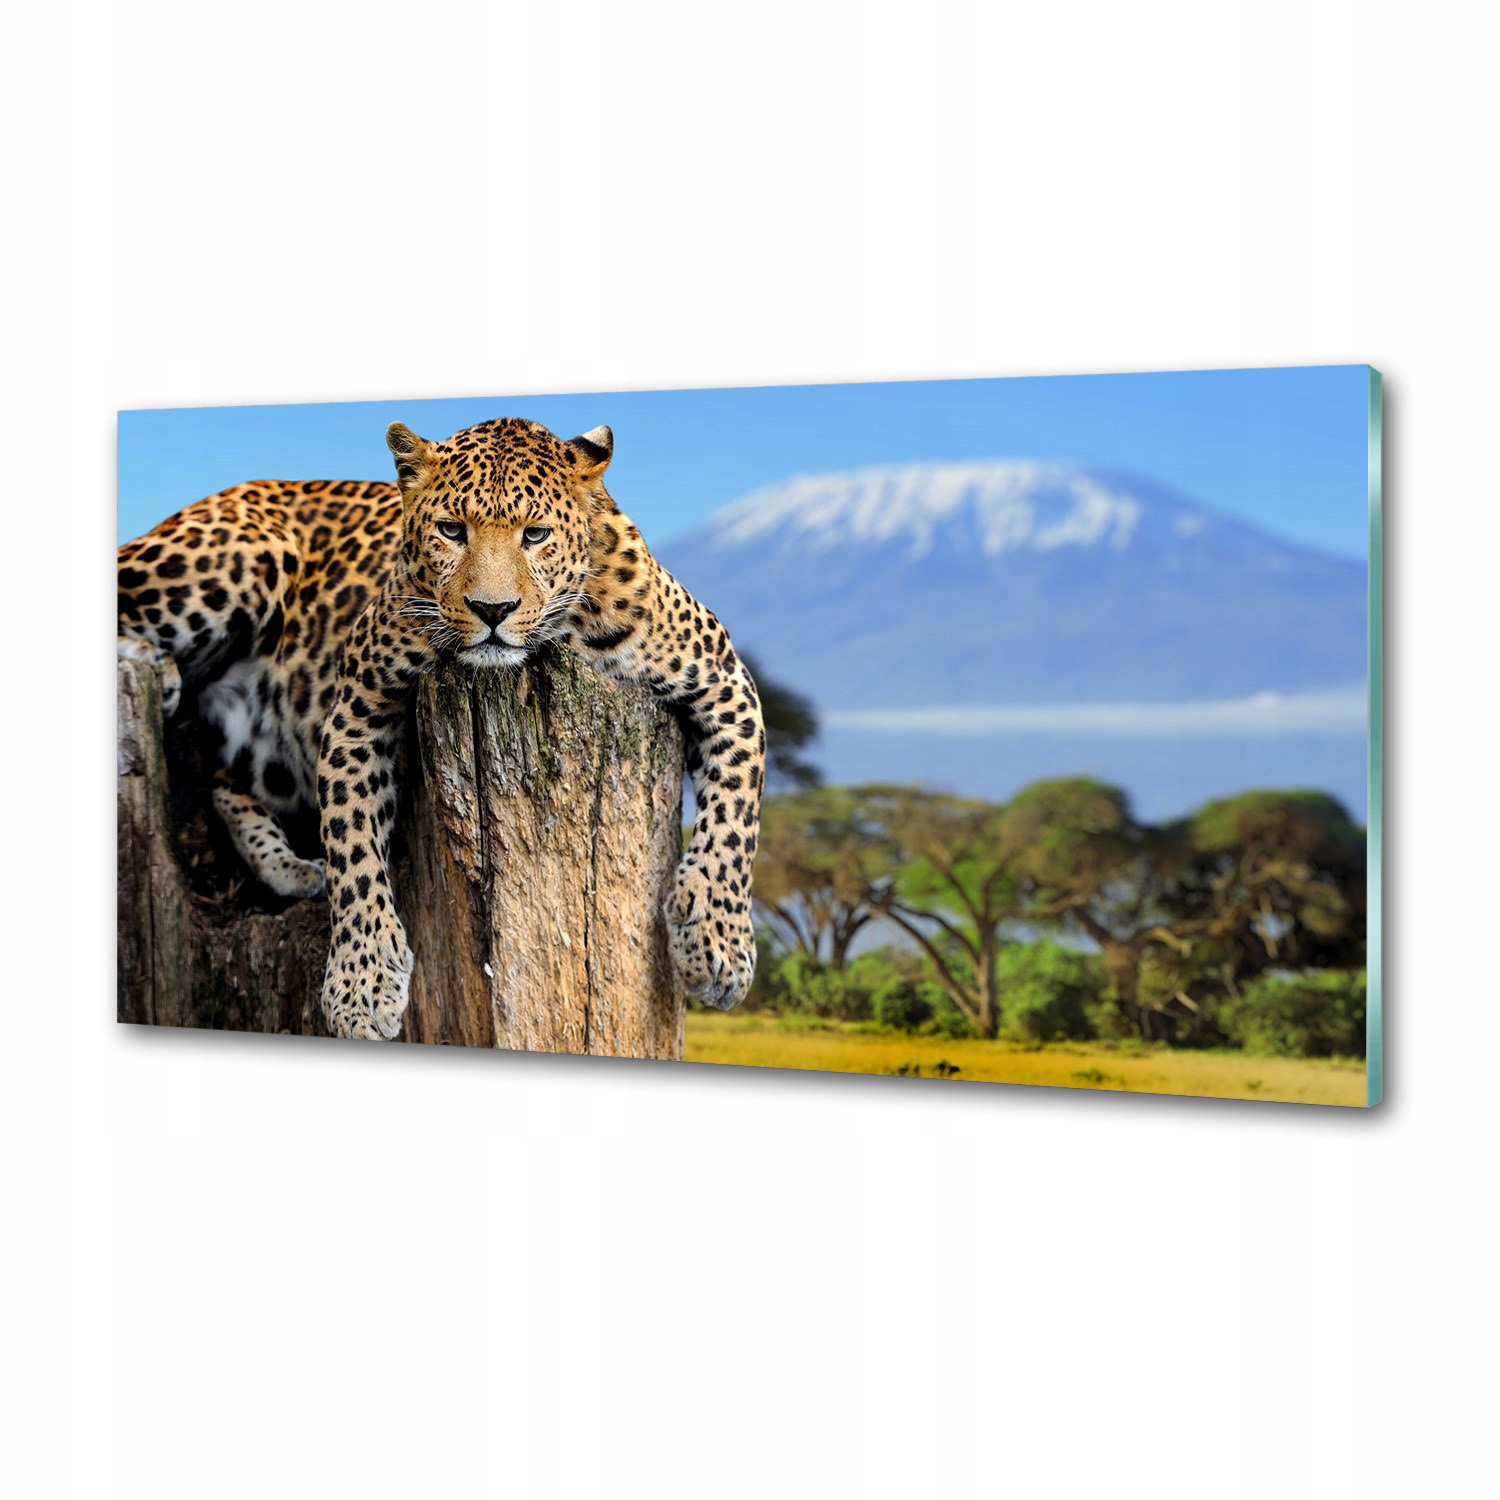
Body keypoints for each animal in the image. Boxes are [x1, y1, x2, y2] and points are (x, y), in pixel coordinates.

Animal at [117, 416, 765, 1040]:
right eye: (452, 530)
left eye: (535, 535)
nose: (492, 610)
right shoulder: (358, 700)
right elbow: (352, 840)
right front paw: (361, 986)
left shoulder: (726, 679)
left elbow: (738, 816)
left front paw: (718, 945)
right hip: (237, 556)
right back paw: (154, 666)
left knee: (226, 782)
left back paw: (293, 868)